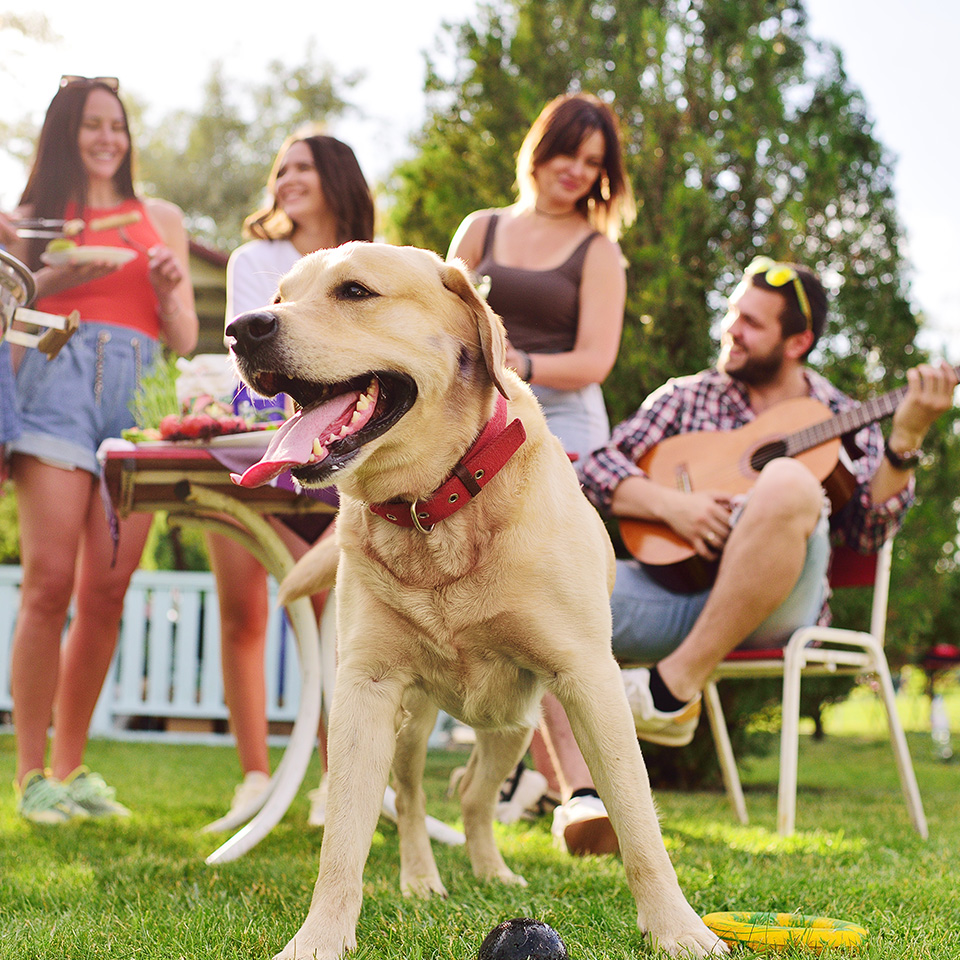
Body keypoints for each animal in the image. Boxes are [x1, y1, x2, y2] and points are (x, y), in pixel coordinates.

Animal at [229, 242, 724, 960]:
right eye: (281, 295)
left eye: (355, 291)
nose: (242, 328)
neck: (434, 506)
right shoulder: (365, 688)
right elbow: (342, 840)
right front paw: (319, 937)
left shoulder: (589, 679)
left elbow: (637, 820)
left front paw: (677, 927)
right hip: (413, 723)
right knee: (415, 799)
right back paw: (421, 879)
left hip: (514, 725)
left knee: (472, 796)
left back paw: (492, 872)